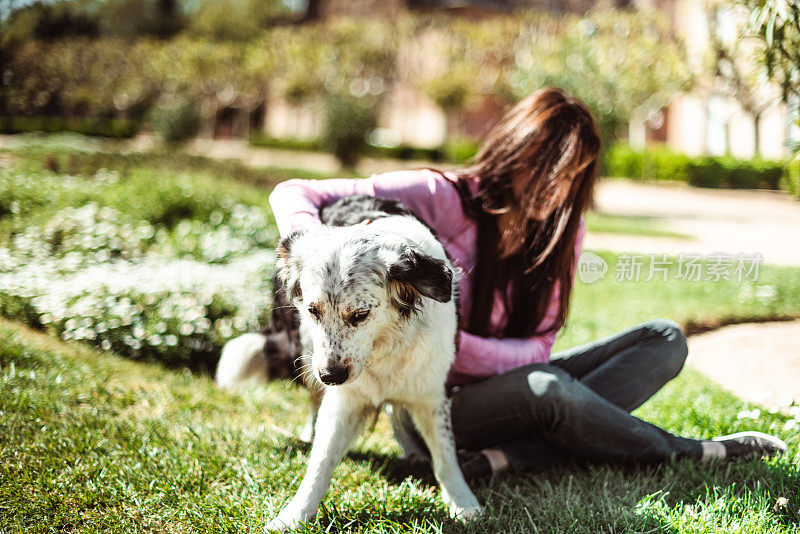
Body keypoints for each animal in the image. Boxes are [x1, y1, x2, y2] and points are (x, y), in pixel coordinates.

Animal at [214, 196, 482, 532]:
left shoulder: (432, 391)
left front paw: (463, 503)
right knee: (315, 401)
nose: (332, 376)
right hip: (307, 349)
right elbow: (321, 459)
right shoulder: (343, 397)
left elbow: (445, 455)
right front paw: (295, 515)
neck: (382, 347)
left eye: (360, 315)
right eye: (313, 310)